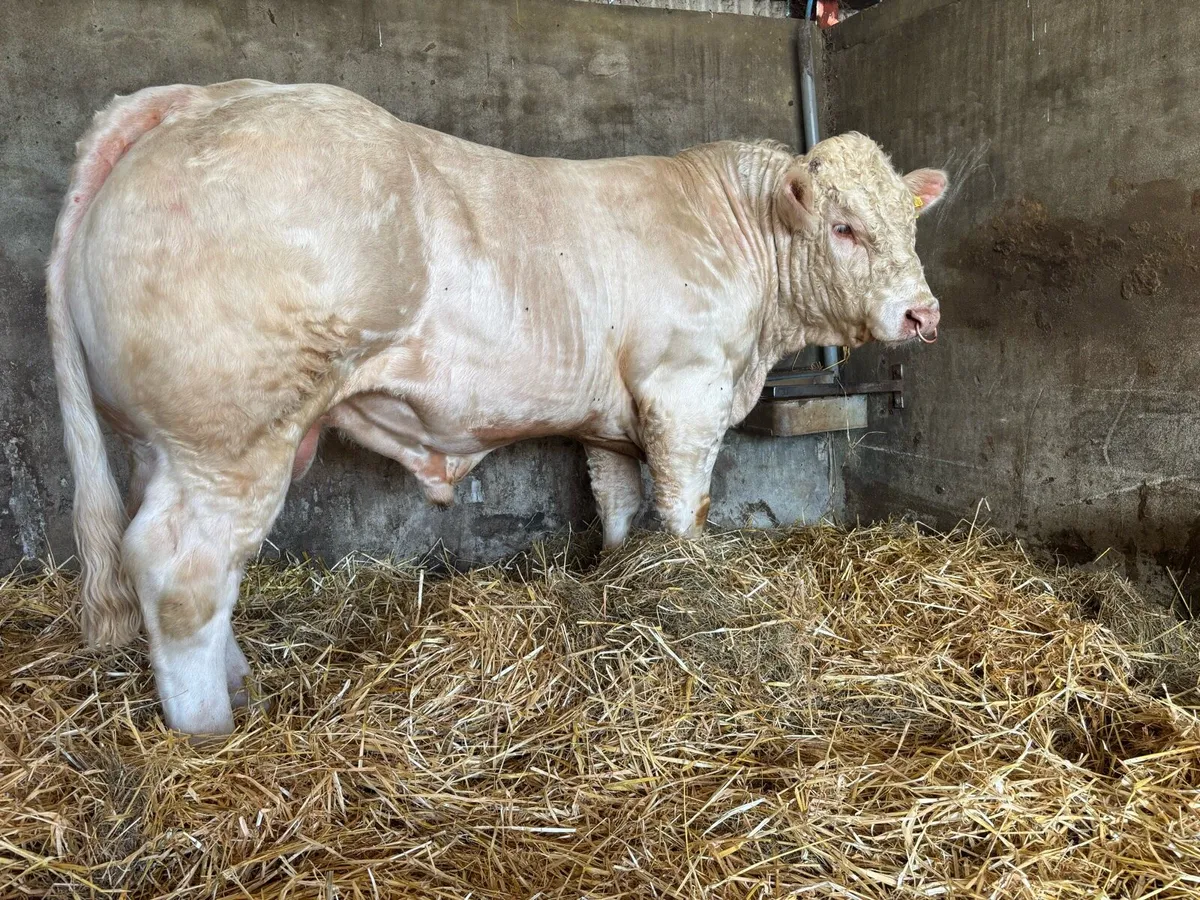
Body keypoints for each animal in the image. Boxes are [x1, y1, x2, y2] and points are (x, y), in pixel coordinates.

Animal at [46, 80, 946, 737]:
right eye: (844, 227)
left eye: (910, 224)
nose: (922, 313)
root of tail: (198, 96)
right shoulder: (684, 392)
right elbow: (683, 511)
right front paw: (689, 590)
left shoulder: (613, 420)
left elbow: (618, 508)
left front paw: (615, 575)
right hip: (230, 434)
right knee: (182, 574)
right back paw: (210, 733)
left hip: (173, 444)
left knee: (202, 565)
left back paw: (236, 684)